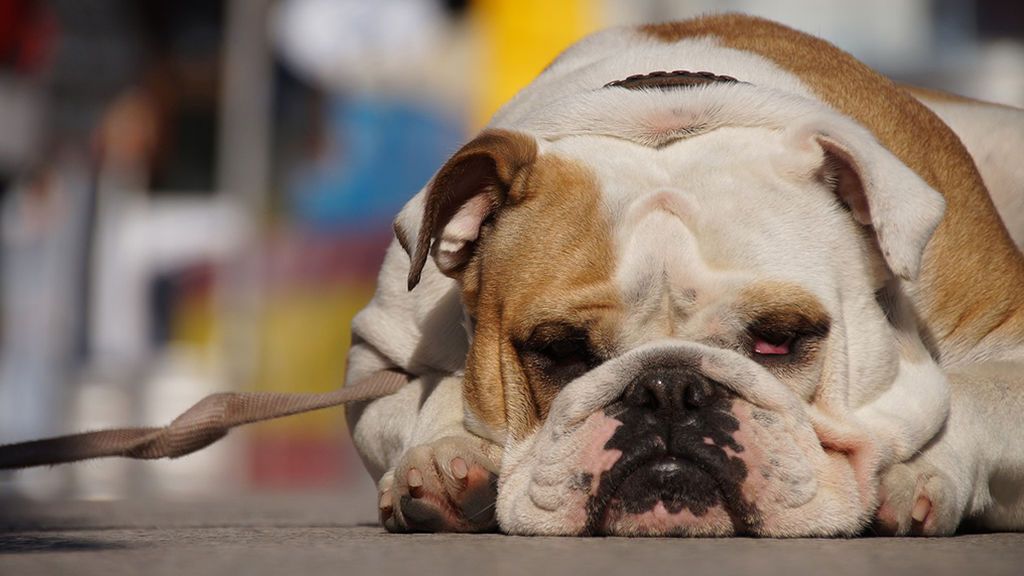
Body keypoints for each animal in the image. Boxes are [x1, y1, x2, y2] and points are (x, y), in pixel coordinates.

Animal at [342, 13, 1024, 532]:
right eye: (558, 351)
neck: (667, 121)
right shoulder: (379, 356)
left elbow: (969, 399)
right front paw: (444, 455)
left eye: (779, 339)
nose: (667, 388)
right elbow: (428, 391)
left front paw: (916, 473)